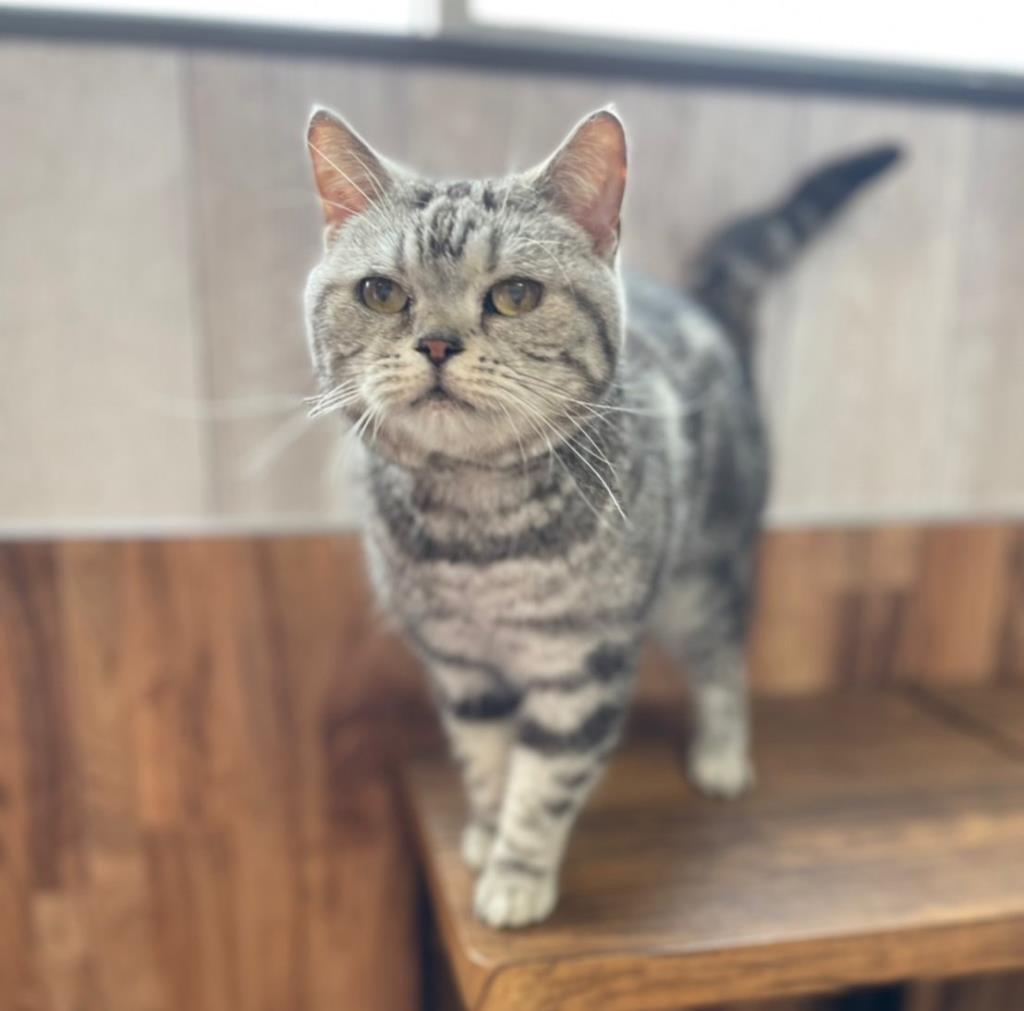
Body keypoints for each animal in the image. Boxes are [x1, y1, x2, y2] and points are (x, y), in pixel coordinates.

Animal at [303, 105, 900, 928]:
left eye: (516, 295)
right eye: (382, 293)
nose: (437, 343)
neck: (479, 530)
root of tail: (701, 304)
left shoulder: (582, 665)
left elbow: (545, 784)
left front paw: (517, 875)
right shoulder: (459, 663)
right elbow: (486, 763)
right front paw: (485, 832)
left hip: (702, 579)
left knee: (724, 662)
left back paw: (721, 756)